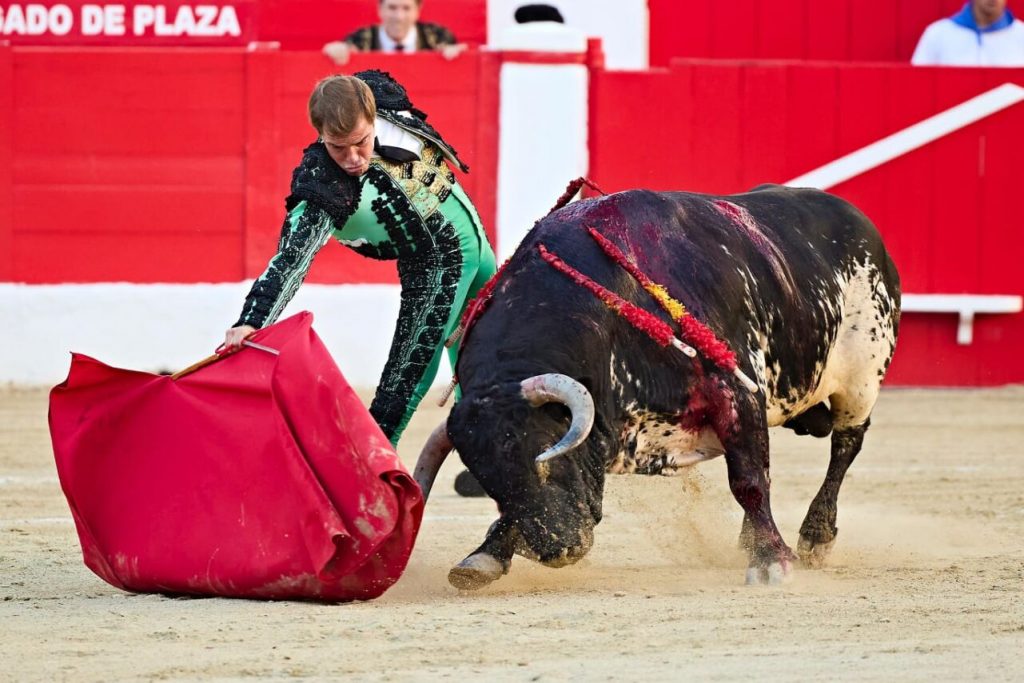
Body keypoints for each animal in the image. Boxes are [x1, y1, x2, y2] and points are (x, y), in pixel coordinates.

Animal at [411, 183, 901, 589]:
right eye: (486, 482)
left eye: (548, 458)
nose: (558, 550)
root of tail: (861, 223)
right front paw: (485, 555)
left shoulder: (736, 391)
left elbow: (747, 480)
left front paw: (770, 562)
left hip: (862, 376)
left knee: (845, 445)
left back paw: (815, 536)